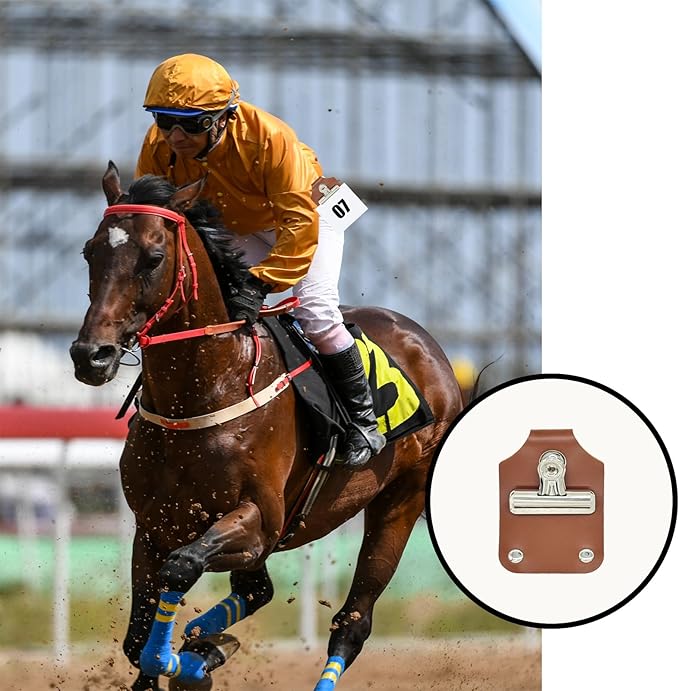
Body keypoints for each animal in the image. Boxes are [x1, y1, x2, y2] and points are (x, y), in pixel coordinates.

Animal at [69, 162, 463, 690]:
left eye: (153, 258)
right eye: (90, 251)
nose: (91, 355)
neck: (209, 389)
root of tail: (427, 345)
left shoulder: (260, 520)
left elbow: (180, 569)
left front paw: (195, 658)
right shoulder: (153, 526)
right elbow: (137, 641)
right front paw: (197, 652)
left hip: (400, 500)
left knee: (353, 623)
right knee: (259, 589)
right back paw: (203, 638)